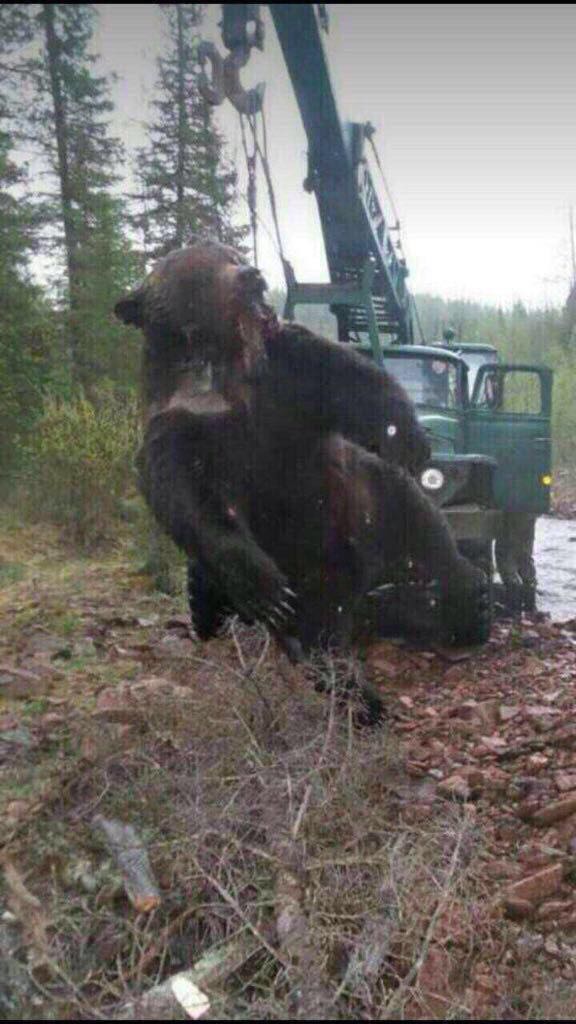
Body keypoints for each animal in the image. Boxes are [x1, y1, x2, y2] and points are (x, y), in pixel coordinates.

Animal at [114, 238, 488, 661]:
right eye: (203, 266)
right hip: (321, 563)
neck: (227, 364)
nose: (252, 276)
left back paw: (472, 600)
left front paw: (406, 437)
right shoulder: (180, 425)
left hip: (374, 499)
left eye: (232, 255)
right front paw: (267, 590)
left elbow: (349, 377)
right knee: (320, 620)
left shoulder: (284, 372)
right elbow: (191, 501)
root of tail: (368, 577)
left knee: (430, 539)